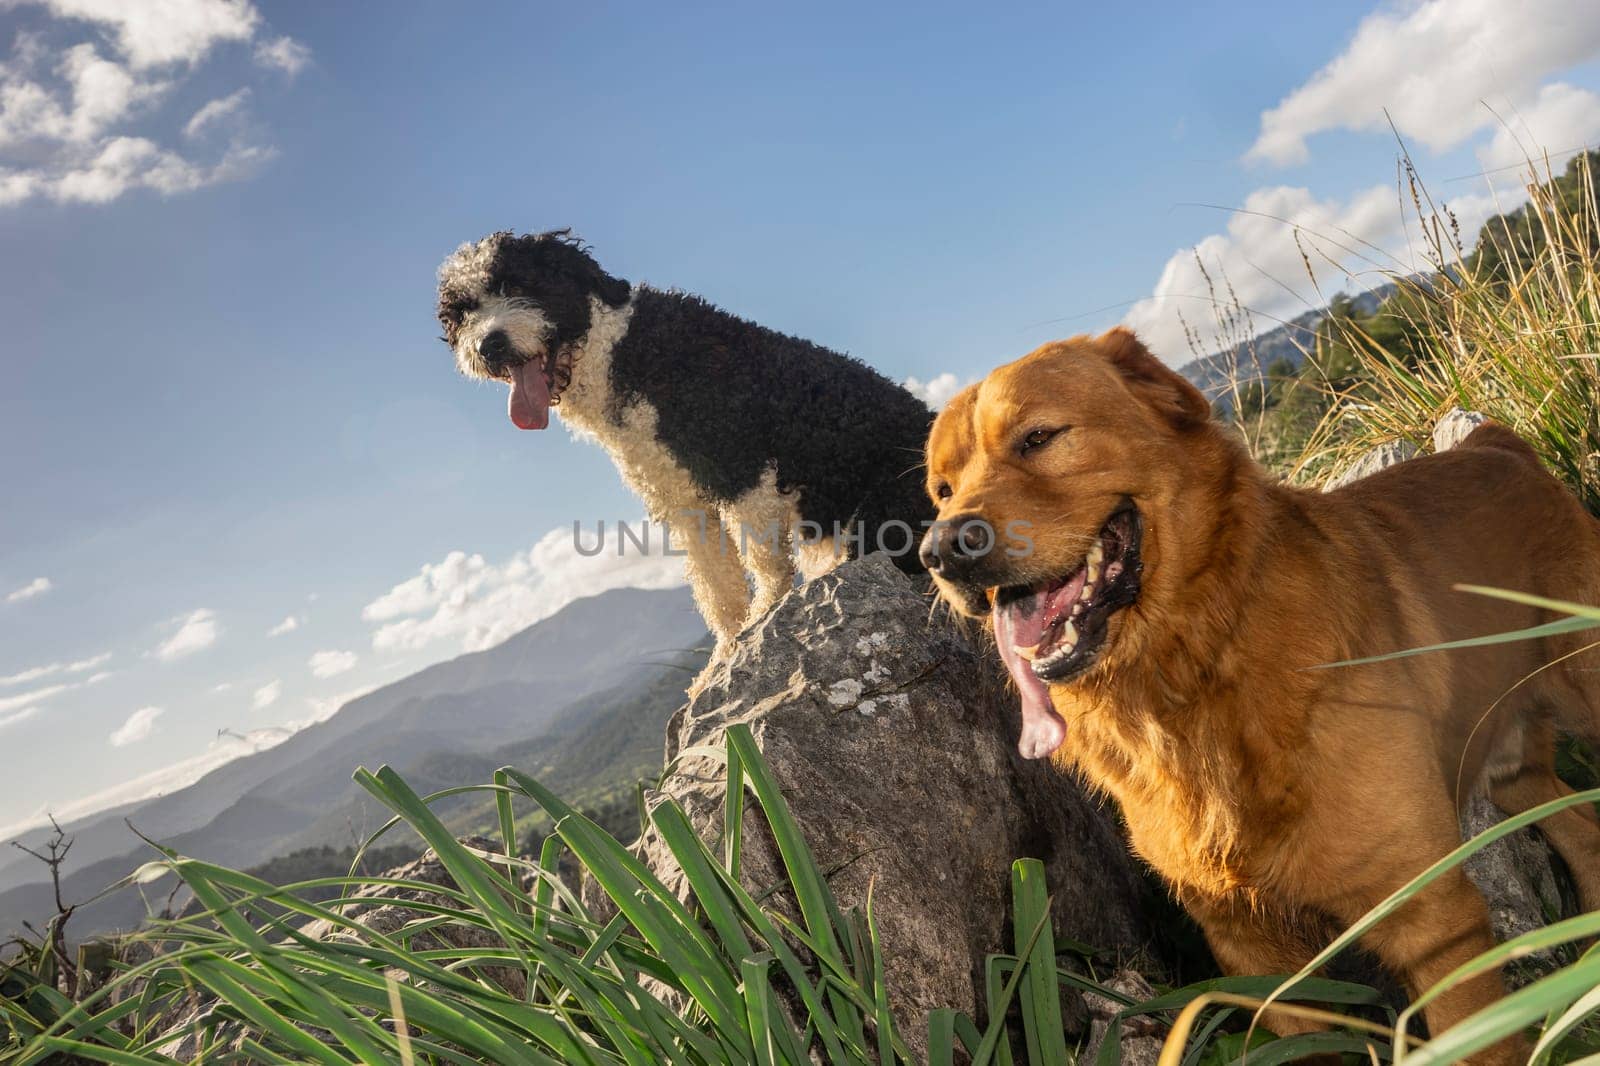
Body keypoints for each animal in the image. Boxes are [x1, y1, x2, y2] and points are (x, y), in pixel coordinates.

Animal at [438, 228, 934, 653]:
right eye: (461, 312)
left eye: (519, 282)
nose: (488, 346)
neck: (620, 352)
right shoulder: (682, 499)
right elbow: (715, 586)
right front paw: (727, 650)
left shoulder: (739, 470)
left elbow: (765, 566)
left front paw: (761, 620)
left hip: (882, 517)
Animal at [921, 328, 1600, 1056]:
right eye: (942, 489)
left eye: (1039, 436)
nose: (942, 550)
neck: (1191, 680)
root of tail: (1499, 446)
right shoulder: (1254, 954)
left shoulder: (1436, 922)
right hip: (1511, 767)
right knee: (1579, 825)